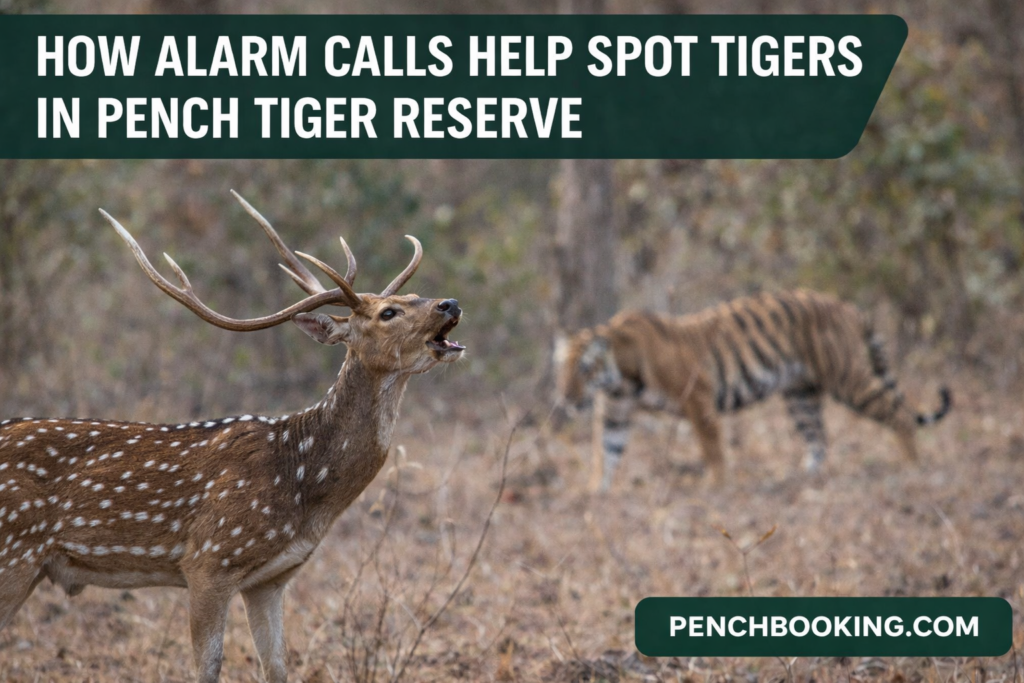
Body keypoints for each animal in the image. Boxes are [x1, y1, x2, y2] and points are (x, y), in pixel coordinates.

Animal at [554, 289, 951, 490]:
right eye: (562, 370)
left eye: (584, 370)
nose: (566, 399)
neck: (619, 379)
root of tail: (848, 307)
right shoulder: (614, 415)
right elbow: (604, 454)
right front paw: (593, 492)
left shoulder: (699, 400)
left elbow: (712, 449)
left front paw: (717, 487)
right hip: (800, 396)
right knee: (819, 439)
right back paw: (803, 478)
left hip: (847, 379)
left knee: (898, 414)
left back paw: (912, 468)